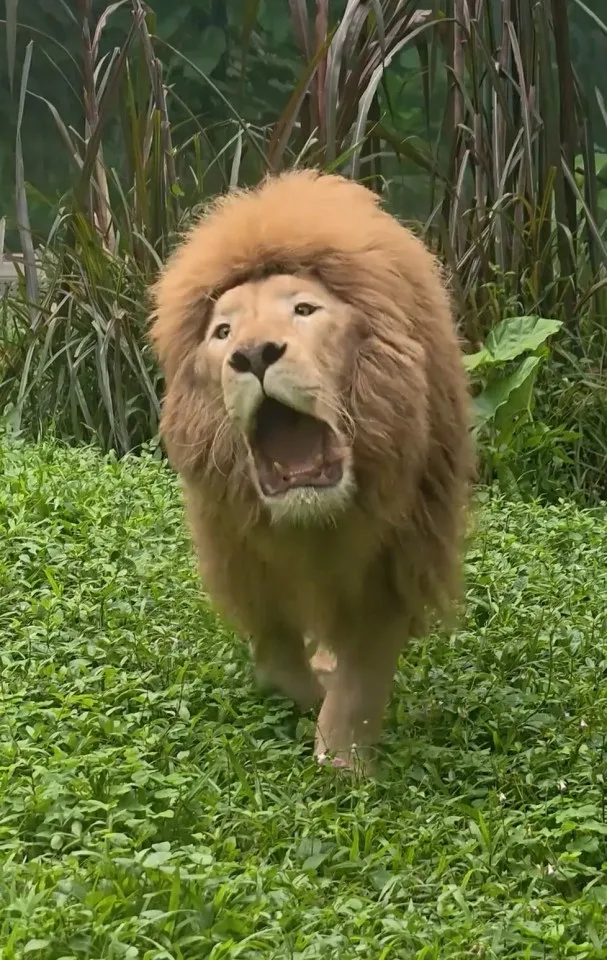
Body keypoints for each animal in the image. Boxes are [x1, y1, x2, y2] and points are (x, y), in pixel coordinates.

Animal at [150, 170, 473, 772]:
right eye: (222, 332)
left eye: (304, 311)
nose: (254, 354)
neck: (315, 520)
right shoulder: (241, 554)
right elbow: (279, 659)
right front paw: (311, 697)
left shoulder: (399, 554)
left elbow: (362, 672)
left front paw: (343, 762)